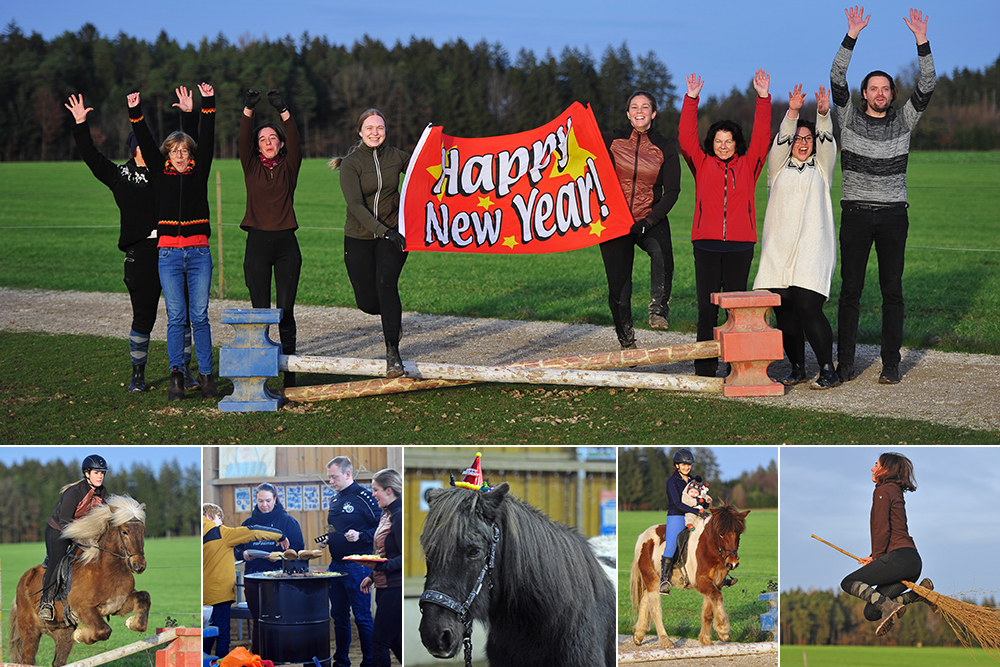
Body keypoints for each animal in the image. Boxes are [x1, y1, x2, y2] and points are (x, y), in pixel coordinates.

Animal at [8, 496, 150, 667]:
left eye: (142, 530)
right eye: (125, 531)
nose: (139, 566)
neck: (107, 570)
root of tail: (23, 581)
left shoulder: (118, 604)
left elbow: (144, 597)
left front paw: (131, 622)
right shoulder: (84, 608)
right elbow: (104, 630)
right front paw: (81, 634)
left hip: (62, 631)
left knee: (59, 661)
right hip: (30, 632)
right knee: (27, 659)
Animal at [628, 506, 748, 648]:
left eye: (738, 534)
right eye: (721, 533)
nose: (732, 563)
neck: (709, 549)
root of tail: (642, 536)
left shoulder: (715, 583)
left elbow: (709, 611)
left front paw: (706, 640)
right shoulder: (701, 581)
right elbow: (717, 597)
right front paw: (723, 630)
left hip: (653, 580)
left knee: (645, 600)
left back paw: (638, 634)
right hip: (651, 579)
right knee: (655, 609)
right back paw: (665, 640)